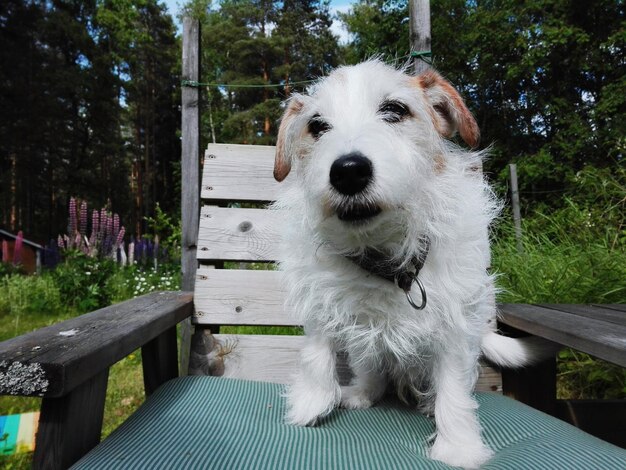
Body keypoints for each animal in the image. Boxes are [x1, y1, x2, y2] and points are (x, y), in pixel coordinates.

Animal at [274, 60, 544, 468]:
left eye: (395, 110)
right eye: (317, 126)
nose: (348, 170)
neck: (387, 258)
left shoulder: (455, 324)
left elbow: (453, 386)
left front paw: (458, 447)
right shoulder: (320, 303)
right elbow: (316, 352)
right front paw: (310, 405)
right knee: (370, 370)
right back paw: (361, 393)